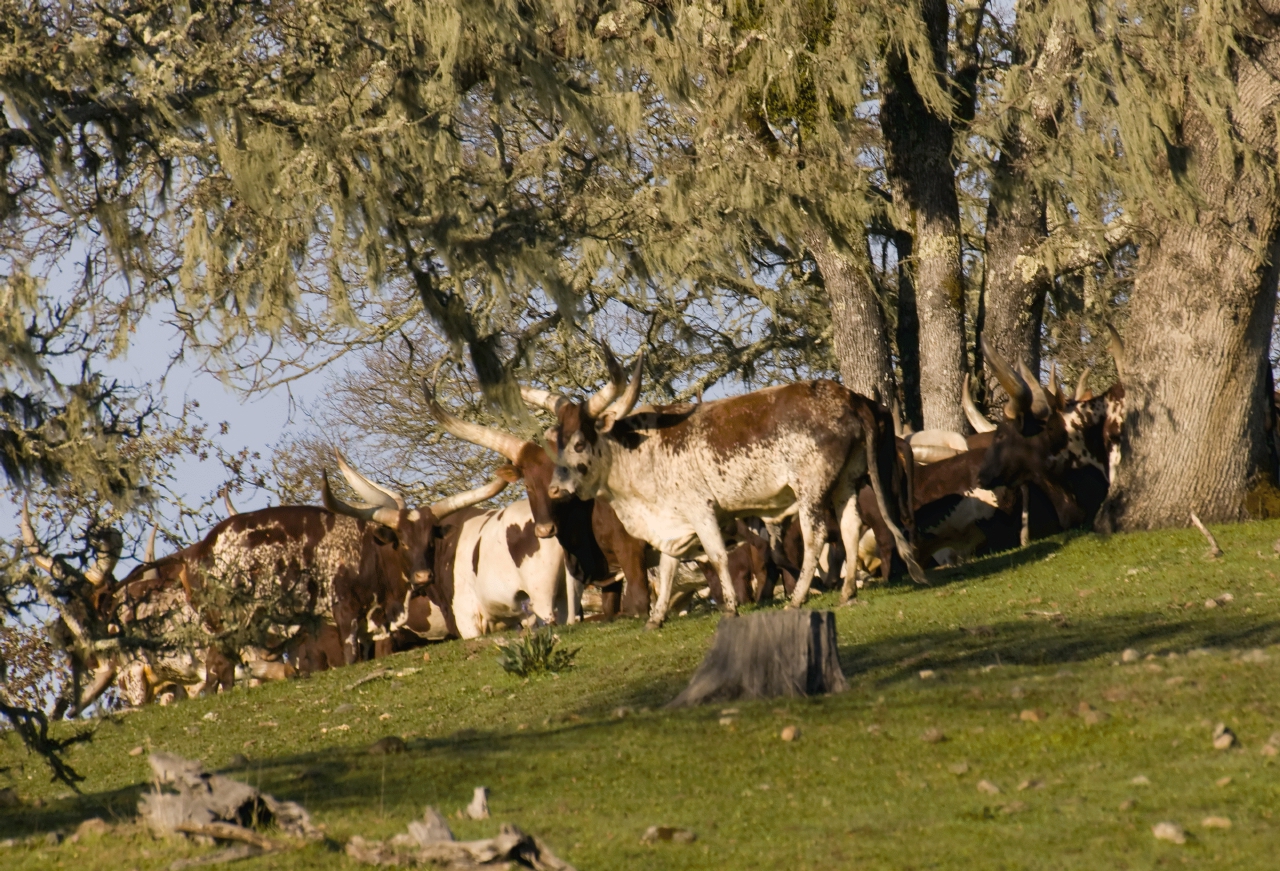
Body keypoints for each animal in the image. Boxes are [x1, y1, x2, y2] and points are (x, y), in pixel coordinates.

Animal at [524, 350, 926, 625]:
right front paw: (656, 616)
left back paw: (797, 598)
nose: (556, 489)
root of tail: (851, 397)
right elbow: (668, 567)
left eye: (579, 443)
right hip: (846, 483)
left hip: (811, 490)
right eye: (558, 442)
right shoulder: (674, 521)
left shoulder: (702, 511)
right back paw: (847, 591)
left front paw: (731, 607)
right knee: (850, 528)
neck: (640, 450)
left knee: (816, 538)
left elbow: (717, 556)